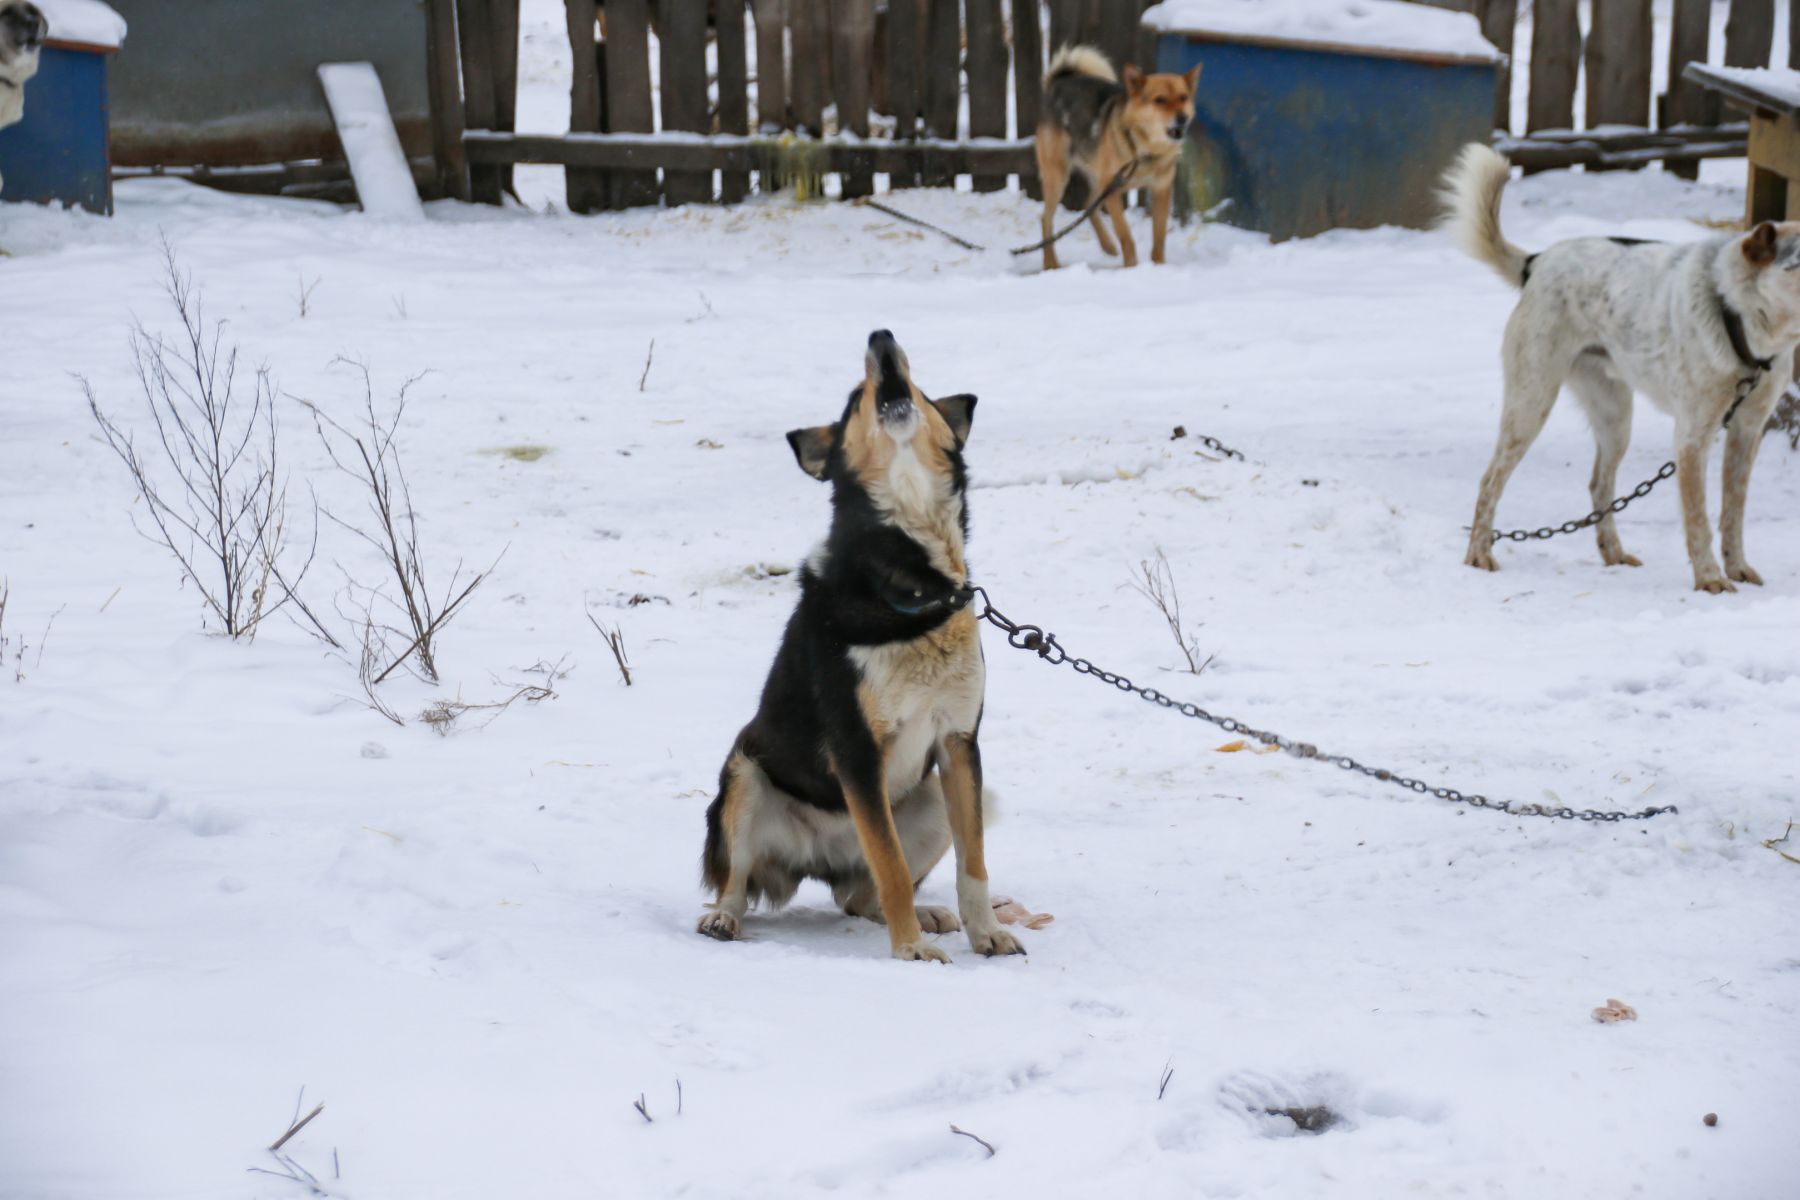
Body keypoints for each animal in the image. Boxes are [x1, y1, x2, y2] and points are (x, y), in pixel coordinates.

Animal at [694, 331, 1022, 964]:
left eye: (917, 384)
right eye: (854, 400)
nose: (881, 339)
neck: (911, 587)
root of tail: (820, 859)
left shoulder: (958, 743)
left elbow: (973, 865)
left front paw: (986, 933)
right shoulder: (857, 750)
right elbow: (891, 867)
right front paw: (911, 951)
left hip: (933, 799)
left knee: (857, 897)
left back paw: (925, 914)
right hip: (743, 776)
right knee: (737, 884)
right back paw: (723, 918)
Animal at [1036, 43, 1202, 271]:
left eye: (1183, 97)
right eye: (1159, 100)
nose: (1182, 118)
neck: (1143, 149)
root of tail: (1059, 81)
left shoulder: (1160, 191)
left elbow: (1159, 237)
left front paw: (1159, 266)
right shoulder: (1113, 191)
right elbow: (1126, 235)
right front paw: (1131, 267)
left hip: (1098, 178)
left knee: (1088, 204)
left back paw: (1107, 245)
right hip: (1058, 176)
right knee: (1046, 218)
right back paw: (1050, 263)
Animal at [1440, 143, 1800, 593]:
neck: (1739, 322)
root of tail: (1537, 262)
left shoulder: (1747, 433)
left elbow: (1733, 513)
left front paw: (1737, 568)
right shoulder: (1691, 436)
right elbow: (1699, 520)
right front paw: (1709, 579)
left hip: (1615, 418)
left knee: (1599, 484)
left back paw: (1612, 552)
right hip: (1531, 404)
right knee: (1490, 481)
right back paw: (1478, 554)